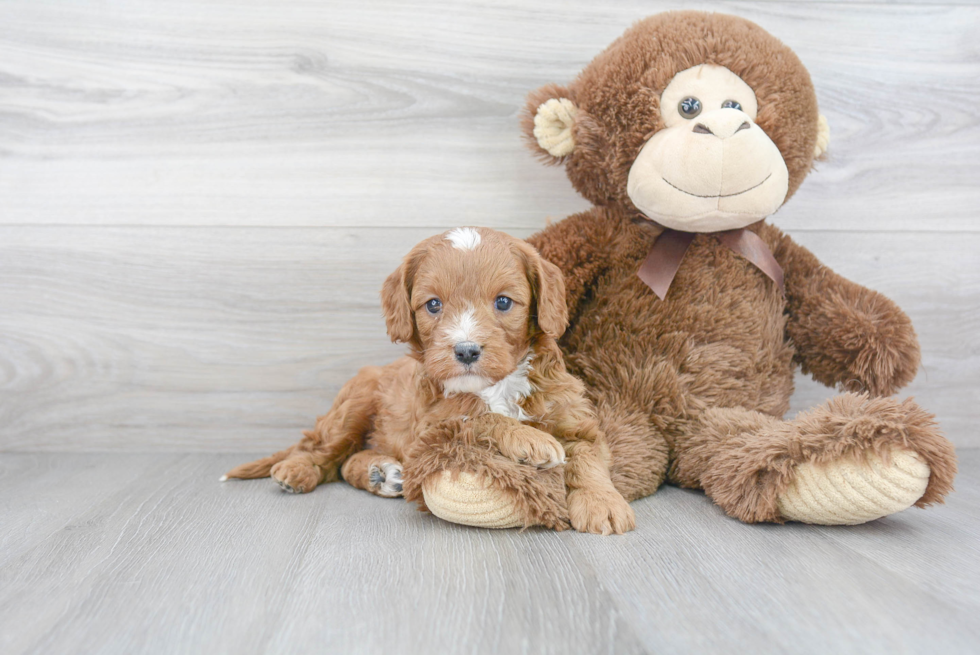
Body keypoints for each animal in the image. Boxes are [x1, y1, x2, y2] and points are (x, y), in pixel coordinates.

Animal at [222, 228, 636, 536]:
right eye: (433, 305)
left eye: (503, 302)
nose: (466, 351)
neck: (495, 386)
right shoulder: (431, 427)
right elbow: (482, 419)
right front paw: (529, 440)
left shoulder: (571, 415)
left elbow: (587, 457)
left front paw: (603, 504)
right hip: (354, 402)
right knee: (324, 452)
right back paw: (298, 470)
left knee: (347, 461)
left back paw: (379, 473)